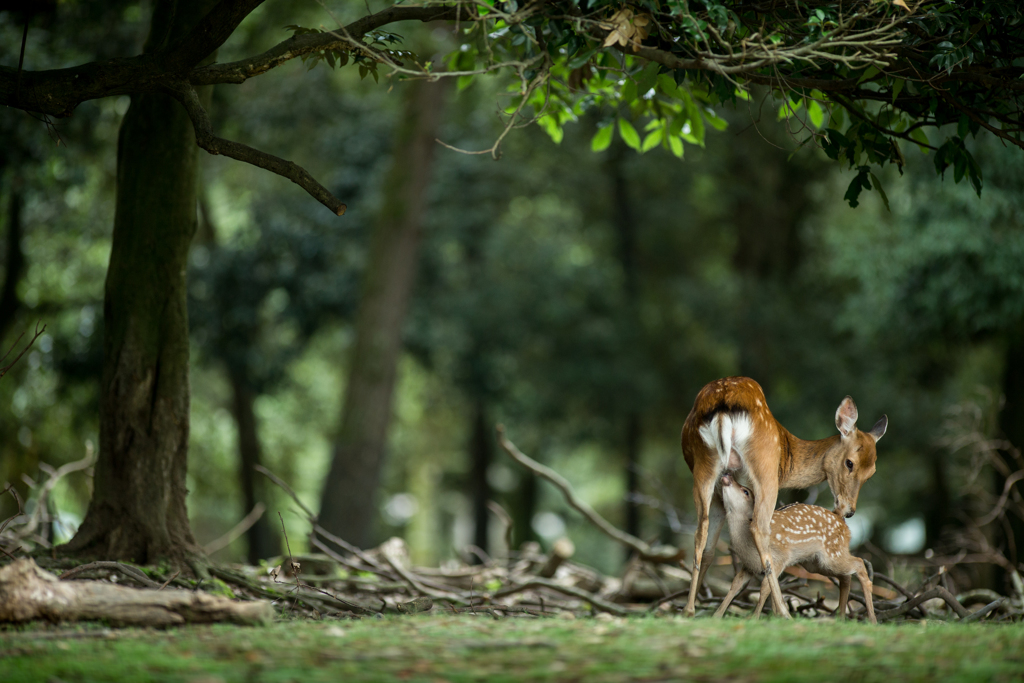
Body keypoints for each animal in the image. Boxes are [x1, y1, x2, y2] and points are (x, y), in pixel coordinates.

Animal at [675, 378, 884, 618]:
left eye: (872, 473)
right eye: (850, 463)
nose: (849, 510)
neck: (790, 457)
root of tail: (722, 405)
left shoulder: (722, 492)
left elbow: (709, 550)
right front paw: (775, 610)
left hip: (703, 466)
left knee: (700, 531)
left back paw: (688, 609)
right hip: (763, 468)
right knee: (760, 528)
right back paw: (784, 611)